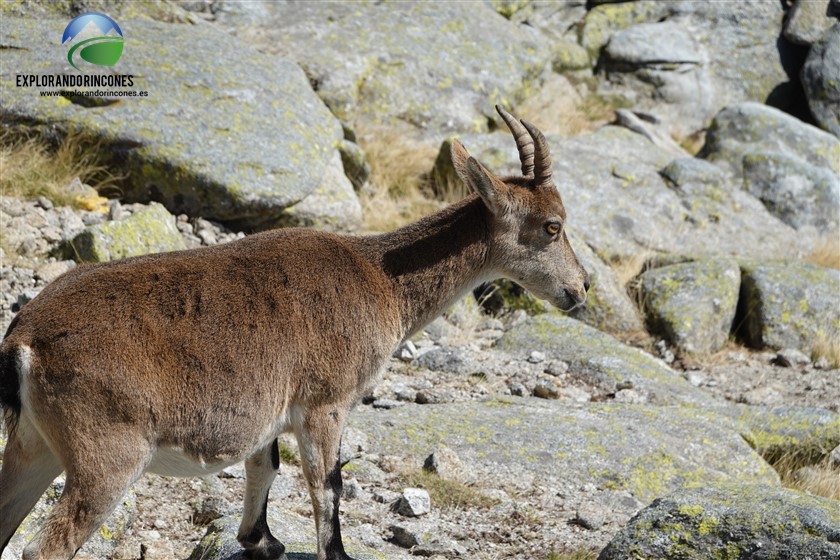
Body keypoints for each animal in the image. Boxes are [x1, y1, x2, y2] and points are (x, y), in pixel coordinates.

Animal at [1, 106, 592, 560]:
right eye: (553, 226)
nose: (581, 287)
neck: (381, 278)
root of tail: (23, 340)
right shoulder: (325, 403)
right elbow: (327, 486)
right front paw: (337, 552)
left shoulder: (271, 412)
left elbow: (265, 469)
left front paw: (261, 540)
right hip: (107, 455)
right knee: (43, 547)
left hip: (33, 446)